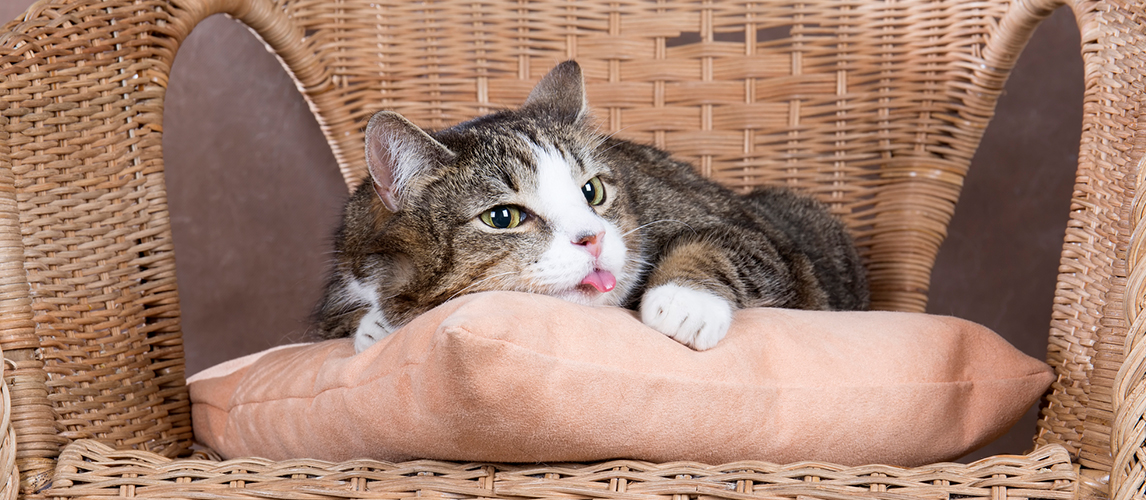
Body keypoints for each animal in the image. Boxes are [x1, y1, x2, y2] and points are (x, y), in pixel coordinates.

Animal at [314, 60, 866, 353]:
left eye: (592, 191)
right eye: (502, 217)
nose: (593, 237)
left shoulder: (757, 237)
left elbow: (732, 245)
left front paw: (685, 302)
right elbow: (340, 321)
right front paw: (374, 326)